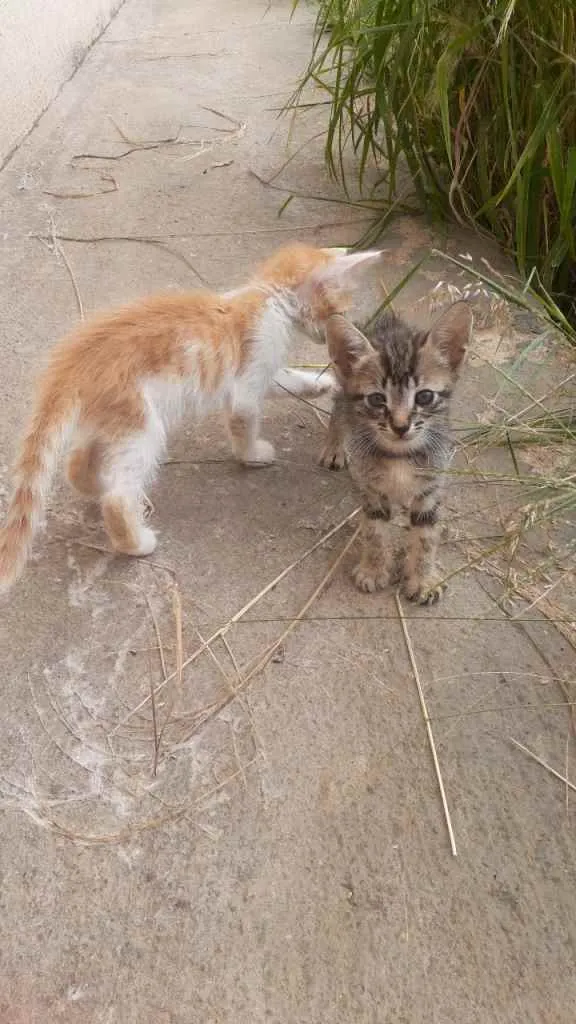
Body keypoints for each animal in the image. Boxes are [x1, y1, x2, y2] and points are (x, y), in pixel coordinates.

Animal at [317, 305, 471, 606]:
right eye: (377, 399)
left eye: (424, 397)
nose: (400, 426)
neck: (401, 456)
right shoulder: (371, 491)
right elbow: (375, 533)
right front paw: (374, 570)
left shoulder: (431, 488)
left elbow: (426, 538)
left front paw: (423, 579)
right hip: (343, 393)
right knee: (339, 408)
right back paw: (335, 447)